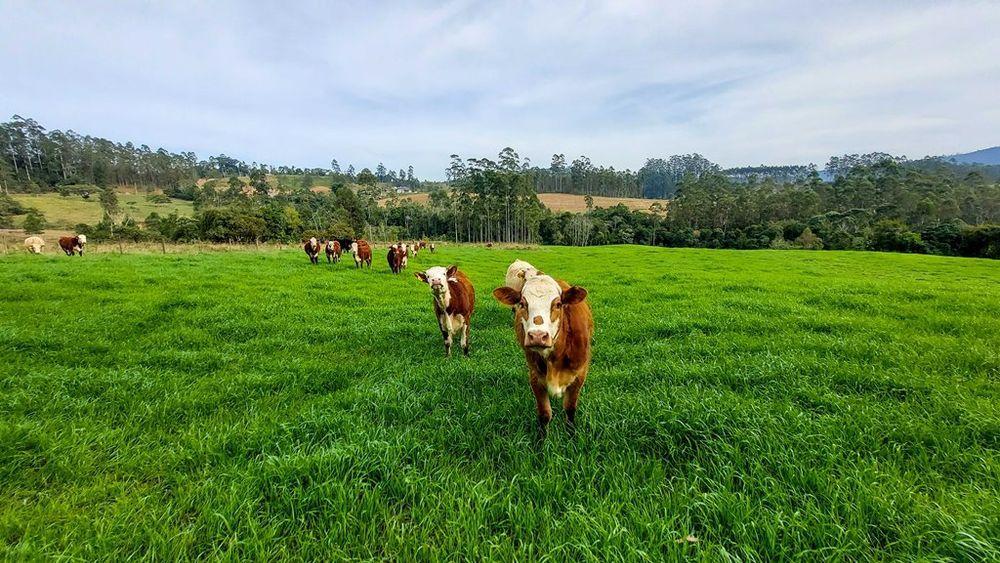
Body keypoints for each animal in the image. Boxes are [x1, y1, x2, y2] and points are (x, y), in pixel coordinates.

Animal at [492, 272, 592, 432]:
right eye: (522, 304)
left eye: (558, 304)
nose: (538, 336)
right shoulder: (535, 378)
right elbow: (544, 414)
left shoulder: (579, 376)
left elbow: (570, 410)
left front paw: (571, 434)